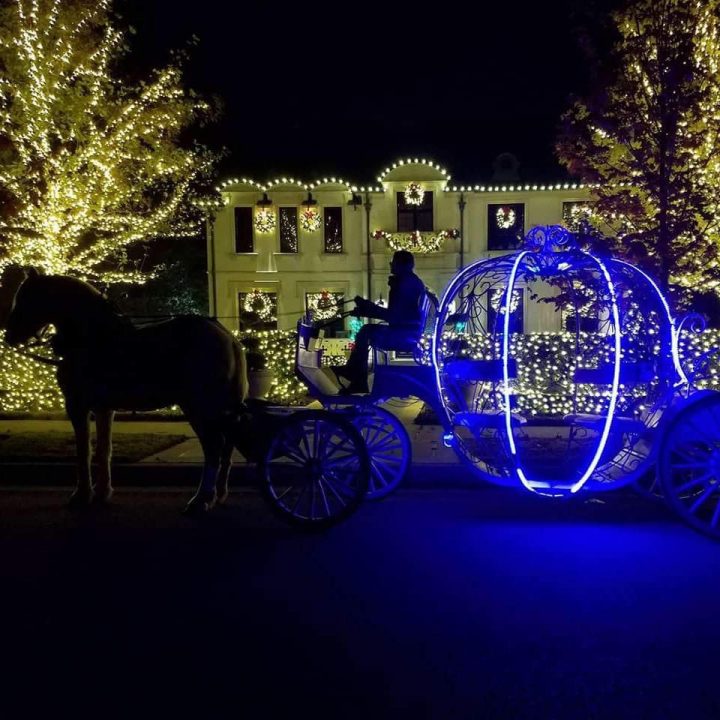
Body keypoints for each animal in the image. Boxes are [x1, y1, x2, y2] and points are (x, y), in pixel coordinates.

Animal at [3, 268, 248, 512]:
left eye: (25, 298)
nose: (9, 336)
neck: (92, 337)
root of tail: (228, 338)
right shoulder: (103, 408)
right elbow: (103, 449)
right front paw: (102, 492)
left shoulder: (77, 405)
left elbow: (83, 450)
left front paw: (81, 495)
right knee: (227, 444)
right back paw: (219, 494)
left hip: (198, 406)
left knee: (214, 446)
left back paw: (202, 498)